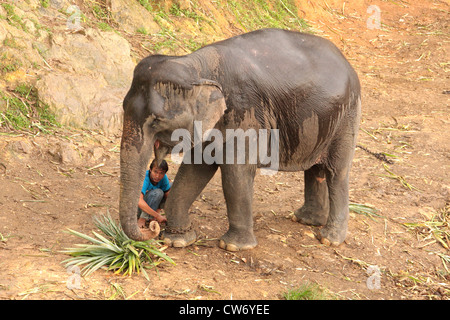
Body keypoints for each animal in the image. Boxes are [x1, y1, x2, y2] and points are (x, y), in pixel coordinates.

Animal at [118, 28, 360, 251]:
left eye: (156, 120)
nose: (152, 228)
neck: (196, 66)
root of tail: (347, 63)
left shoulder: (245, 113)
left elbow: (236, 173)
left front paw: (234, 247)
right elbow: (195, 169)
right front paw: (177, 240)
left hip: (347, 118)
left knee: (337, 172)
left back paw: (329, 239)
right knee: (315, 169)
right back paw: (305, 219)